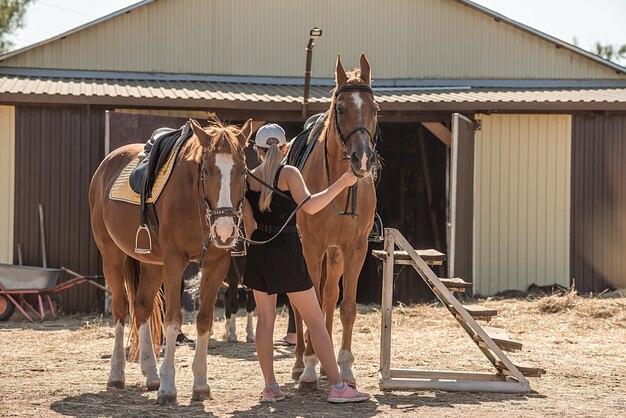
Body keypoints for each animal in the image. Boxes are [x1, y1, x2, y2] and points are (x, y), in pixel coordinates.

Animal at [87, 117, 251, 404]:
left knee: (141, 306)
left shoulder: (216, 264)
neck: (195, 200)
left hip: (153, 265)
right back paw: (117, 373)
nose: (225, 230)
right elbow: (173, 319)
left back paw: (151, 373)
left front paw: (200, 384)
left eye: (242, 171)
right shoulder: (175, 262)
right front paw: (168, 387)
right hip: (112, 257)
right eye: (206, 170)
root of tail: (105, 166)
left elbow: (204, 320)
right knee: (120, 308)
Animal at [294, 54, 378, 386]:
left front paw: (343, 365)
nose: (362, 159)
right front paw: (309, 365)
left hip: (335, 253)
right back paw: (301, 363)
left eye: (374, 108)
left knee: (330, 296)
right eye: (340, 109)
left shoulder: (355, 248)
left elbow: (347, 306)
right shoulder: (311, 247)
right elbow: (311, 304)